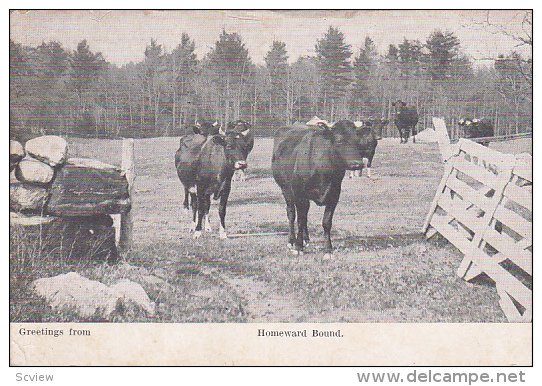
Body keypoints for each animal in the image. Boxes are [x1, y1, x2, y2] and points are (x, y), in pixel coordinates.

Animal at [274, 120, 372, 260]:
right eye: (339, 141)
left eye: (357, 141)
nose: (357, 164)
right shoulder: (299, 195)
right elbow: (300, 220)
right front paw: (298, 247)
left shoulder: (334, 195)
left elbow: (326, 222)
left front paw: (328, 249)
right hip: (286, 190)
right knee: (292, 214)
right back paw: (291, 241)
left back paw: (306, 239)